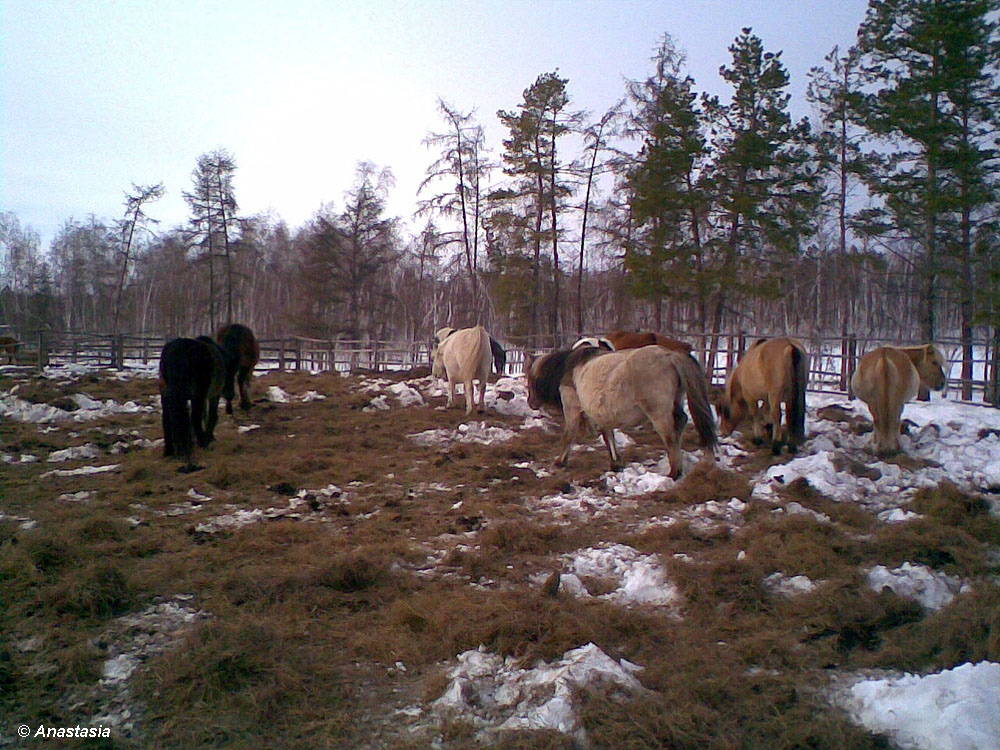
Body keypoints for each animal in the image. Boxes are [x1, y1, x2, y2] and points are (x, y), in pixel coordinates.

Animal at [158, 336, 227, 468]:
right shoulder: (209, 395)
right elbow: (209, 417)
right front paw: (207, 440)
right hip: (199, 394)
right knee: (196, 417)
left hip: (166, 394)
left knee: (166, 419)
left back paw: (169, 450)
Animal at [528, 344, 716, 478]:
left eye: (530, 377)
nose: (531, 402)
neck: (571, 369)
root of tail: (670, 356)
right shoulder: (603, 415)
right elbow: (608, 437)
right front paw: (615, 463)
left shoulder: (572, 409)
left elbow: (569, 435)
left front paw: (560, 461)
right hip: (675, 403)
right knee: (681, 422)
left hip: (659, 413)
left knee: (670, 436)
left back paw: (674, 472)